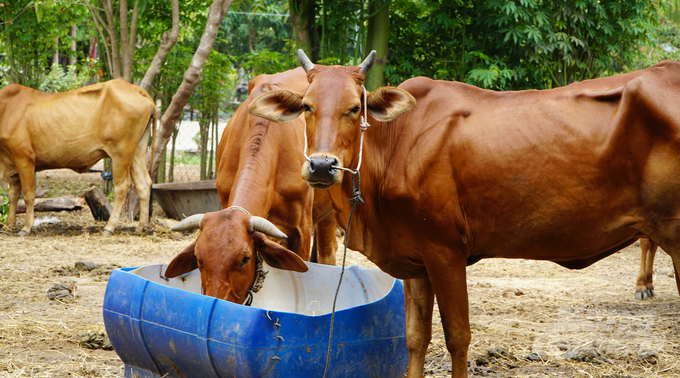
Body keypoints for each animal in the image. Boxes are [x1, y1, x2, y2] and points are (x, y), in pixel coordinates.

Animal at [0, 78, 155, 235]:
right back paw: (141, 226)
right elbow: (12, 195)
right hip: (137, 150)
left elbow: (28, 195)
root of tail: (134, 88)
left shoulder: (24, 158)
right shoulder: (12, 163)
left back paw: (109, 227)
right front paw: (9, 224)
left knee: (122, 186)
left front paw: (26, 227)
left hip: (121, 153)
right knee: (143, 183)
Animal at [248, 51, 680, 378]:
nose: (322, 166)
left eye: (355, 108)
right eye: (307, 106)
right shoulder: (416, 260)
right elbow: (415, 337)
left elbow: (457, 335)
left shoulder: (445, 251)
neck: (396, 146)